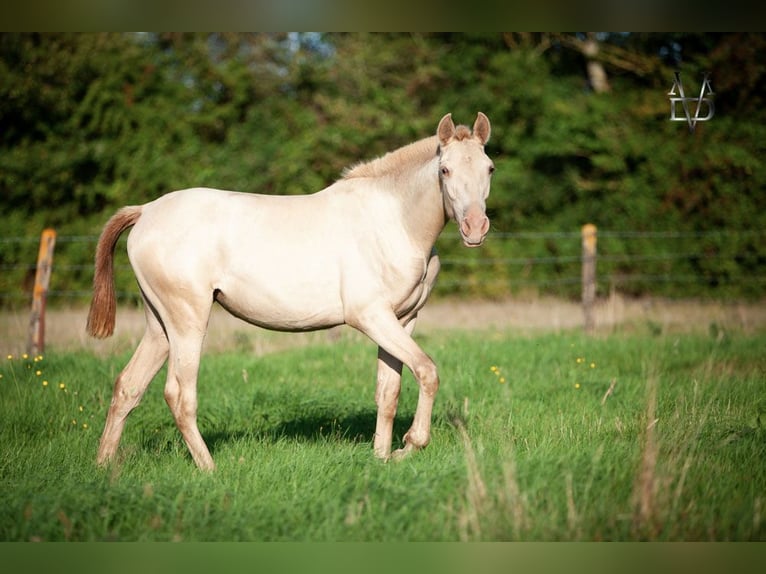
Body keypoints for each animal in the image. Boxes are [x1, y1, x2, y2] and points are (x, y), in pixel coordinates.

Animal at [88, 113, 498, 472]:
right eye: (445, 170)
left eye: (489, 168)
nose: (475, 228)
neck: (393, 222)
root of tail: (146, 211)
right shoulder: (371, 318)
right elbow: (427, 371)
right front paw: (410, 444)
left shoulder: (402, 321)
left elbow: (388, 392)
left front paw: (382, 458)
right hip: (187, 323)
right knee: (178, 394)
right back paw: (209, 469)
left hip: (160, 326)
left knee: (128, 387)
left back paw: (103, 466)